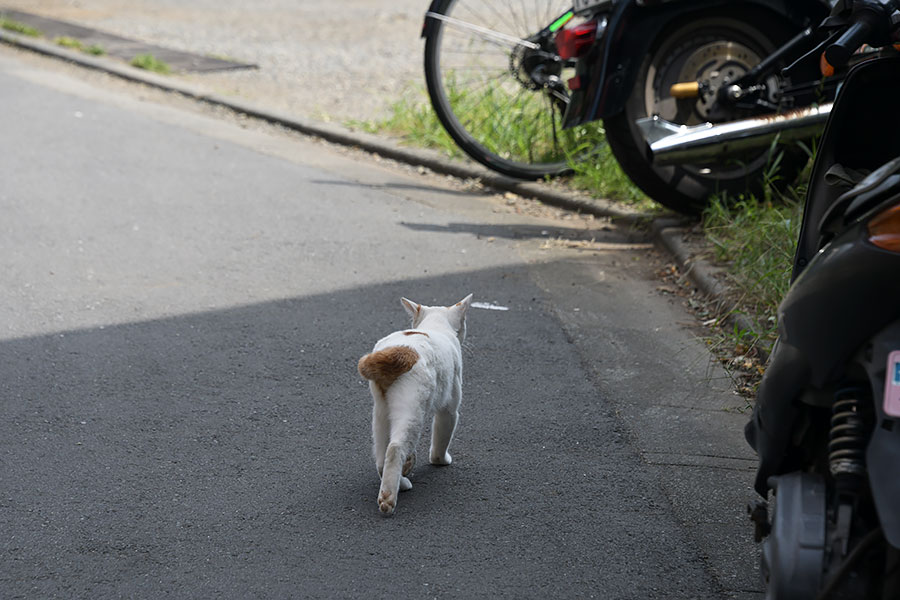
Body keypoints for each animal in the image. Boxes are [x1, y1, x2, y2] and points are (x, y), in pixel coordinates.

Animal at [356, 296, 474, 516]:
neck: (434, 326)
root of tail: (402, 350)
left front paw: (411, 463)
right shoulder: (449, 410)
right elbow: (441, 438)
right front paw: (440, 460)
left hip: (381, 413)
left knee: (381, 456)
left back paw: (401, 482)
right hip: (412, 412)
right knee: (395, 448)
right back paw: (388, 498)